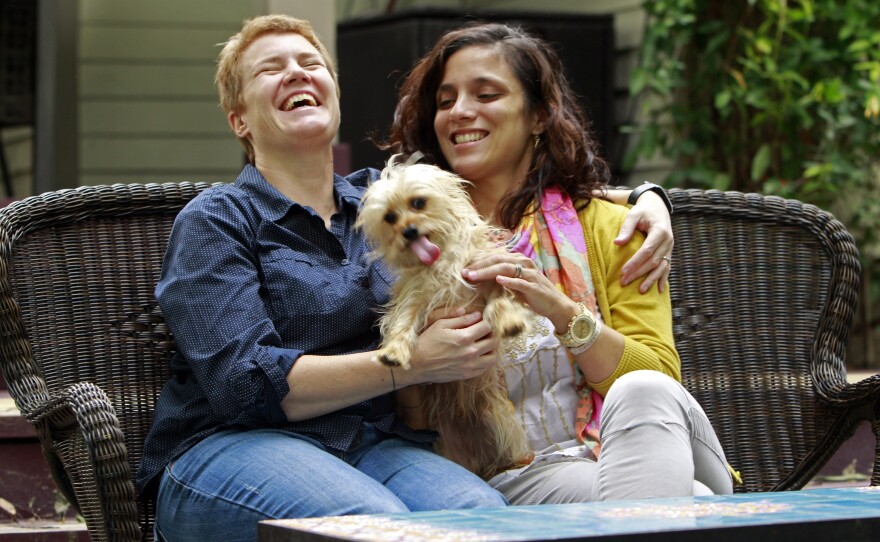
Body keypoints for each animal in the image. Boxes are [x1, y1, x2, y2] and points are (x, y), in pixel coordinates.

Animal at [354, 157, 532, 480]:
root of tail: (478, 461)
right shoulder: (414, 300)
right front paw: (394, 352)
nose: (409, 231)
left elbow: (499, 302)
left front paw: (509, 321)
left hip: (500, 421)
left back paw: (516, 461)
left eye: (418, 202)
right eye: (389, 217)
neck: (440, 264)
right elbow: (402, 325)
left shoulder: (485, 279)